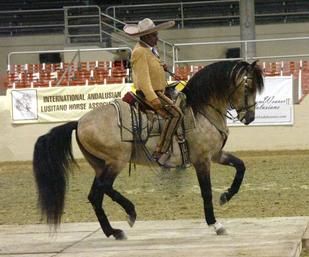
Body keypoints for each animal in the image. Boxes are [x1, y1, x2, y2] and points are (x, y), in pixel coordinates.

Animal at [31, 59, 262, 238]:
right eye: (248, 88)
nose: (250, 117)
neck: (201, 110)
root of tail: (78, 122)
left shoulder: (215, 155)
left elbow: (241, 167)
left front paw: (226, 196)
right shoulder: (202, 160)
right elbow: (206, 192)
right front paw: (215, 224)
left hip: (100, 165)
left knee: (95, 195)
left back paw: (113, 231)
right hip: (116, 161)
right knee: (104, 188)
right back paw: (130, 212)